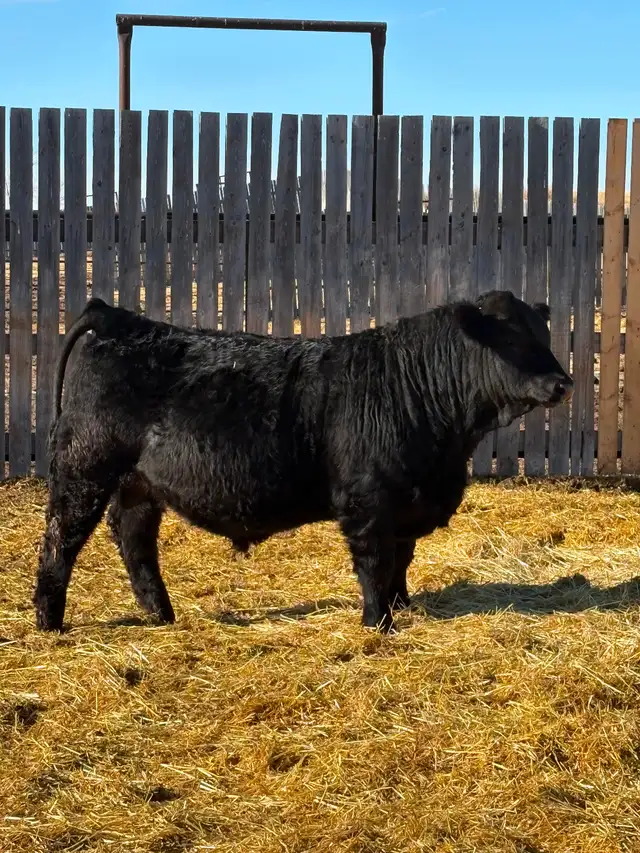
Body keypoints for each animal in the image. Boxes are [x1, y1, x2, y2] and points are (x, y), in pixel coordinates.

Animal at [33, 289, 573, 635]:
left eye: (545, 336)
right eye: (513, 339)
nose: (562, 382)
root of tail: (119, 317)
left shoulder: (407, 505)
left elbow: (401, 562)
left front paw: (403, 607)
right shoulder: (367, 503)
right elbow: (375, 564)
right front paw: (379, 624)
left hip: (139, 483)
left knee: (134, 539)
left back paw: (160, 614)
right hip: (85, 468)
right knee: (61, 541)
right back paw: (48, 623)